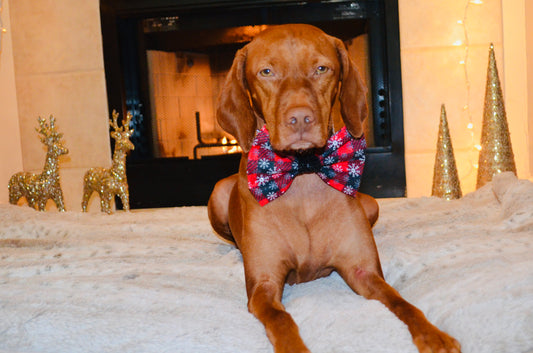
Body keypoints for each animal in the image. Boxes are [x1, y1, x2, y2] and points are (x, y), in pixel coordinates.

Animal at [206, 24, 460, 352]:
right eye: (266, 72)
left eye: (321, 68)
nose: (300, 118)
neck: (303, 172)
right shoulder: (264, 286)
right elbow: (281, 320)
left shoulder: (364, 272)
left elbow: (403, 303)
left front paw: (433, 335)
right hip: (217, 195)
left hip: (371, 204)